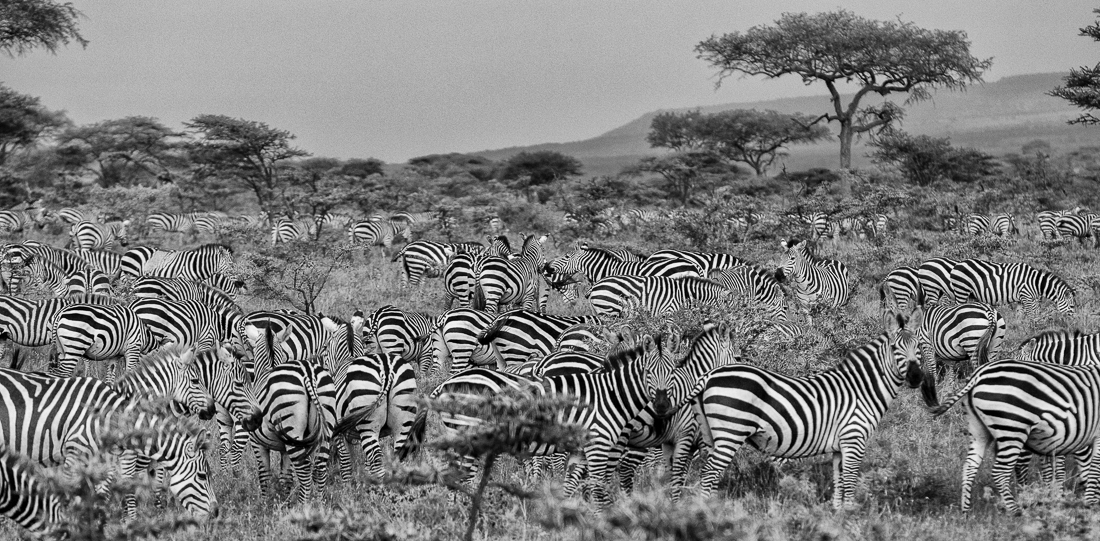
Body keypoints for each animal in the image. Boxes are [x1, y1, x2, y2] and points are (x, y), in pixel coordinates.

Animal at [651, 315, 926, 507]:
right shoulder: (854, 439)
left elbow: (838, 485)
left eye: (920, 348)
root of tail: (708, 376)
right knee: (708, 475)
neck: (861, 389)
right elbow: (849, 484)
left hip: (709, 434)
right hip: (731, 431)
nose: (916, 377)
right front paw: (850, 517)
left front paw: (838, 518)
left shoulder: (840, 447)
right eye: (895, 348)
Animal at [927, 344, 1100, 512]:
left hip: (978, 428)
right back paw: (1016, 511)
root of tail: (978, 375)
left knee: (970, 466)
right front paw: (1089, 502)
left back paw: (966, 511)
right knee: (1001, 471)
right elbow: (1093, 466)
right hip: (1012, 427)